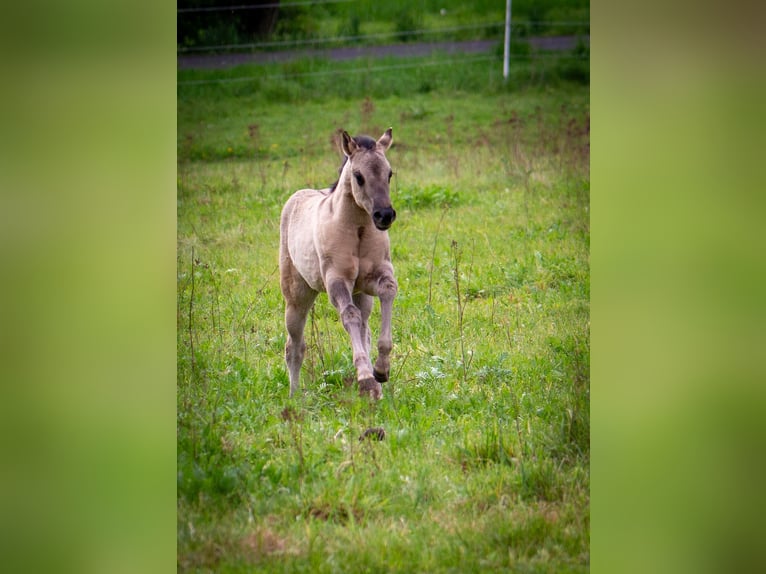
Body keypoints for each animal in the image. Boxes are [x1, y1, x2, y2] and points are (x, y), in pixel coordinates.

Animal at [279, 128, 397, 400]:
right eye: (358, 176)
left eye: (389, 173)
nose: (384, 215)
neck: (358, 229)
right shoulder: (336, 281)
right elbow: (349, 316)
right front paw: (365, 378)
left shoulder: (375, 277)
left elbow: (388, 292)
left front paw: (381, 370)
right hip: (297, 297)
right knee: (295, 346)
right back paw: (294, 396)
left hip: (362, 295)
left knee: (364, 328)